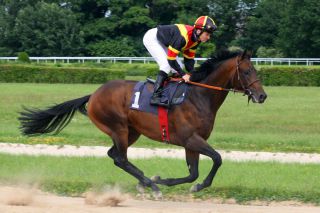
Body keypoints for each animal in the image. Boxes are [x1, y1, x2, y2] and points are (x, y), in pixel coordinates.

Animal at [18, 49, 268, 198]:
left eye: (256, 70)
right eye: (247, 71)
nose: (262, 96)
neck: (198, 96)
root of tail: (94, 94)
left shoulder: (192, 143)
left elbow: (193, 173)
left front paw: (167, 180)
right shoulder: (190, 139)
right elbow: (217, 158)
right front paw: (165, 182)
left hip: (132, 131)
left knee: (114, 155)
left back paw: (147, 182)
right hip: (118, 128)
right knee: (121, 158)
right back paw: (150, 185)